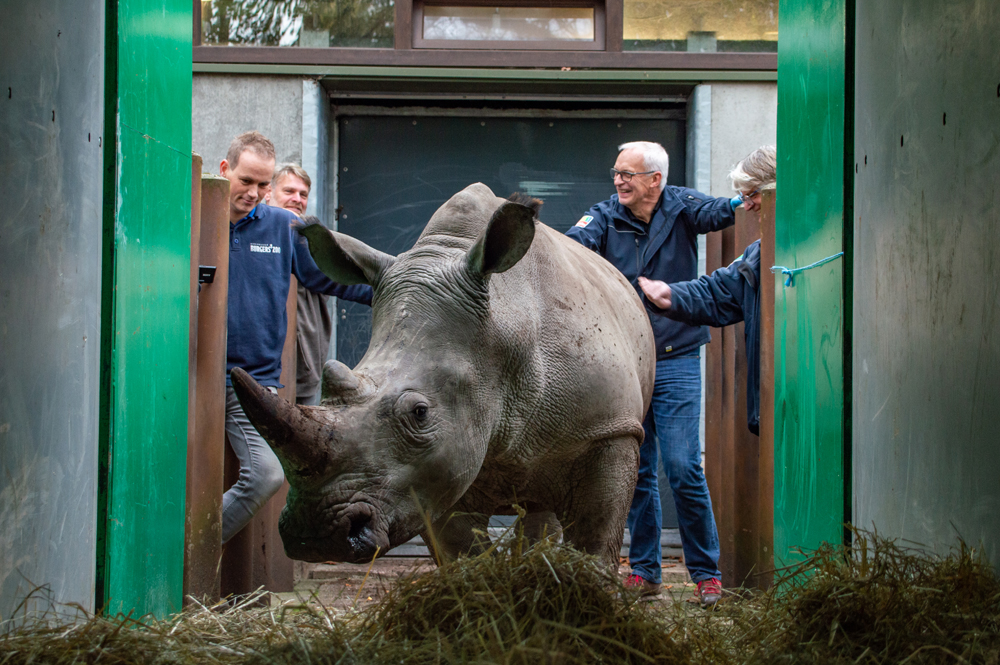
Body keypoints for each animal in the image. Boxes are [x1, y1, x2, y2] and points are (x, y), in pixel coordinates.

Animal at [230, 183, 654, 567]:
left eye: (420, 412)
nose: (316, 535)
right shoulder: (434, 473)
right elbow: (462, 558)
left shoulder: (609, 429)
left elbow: (595, 544)